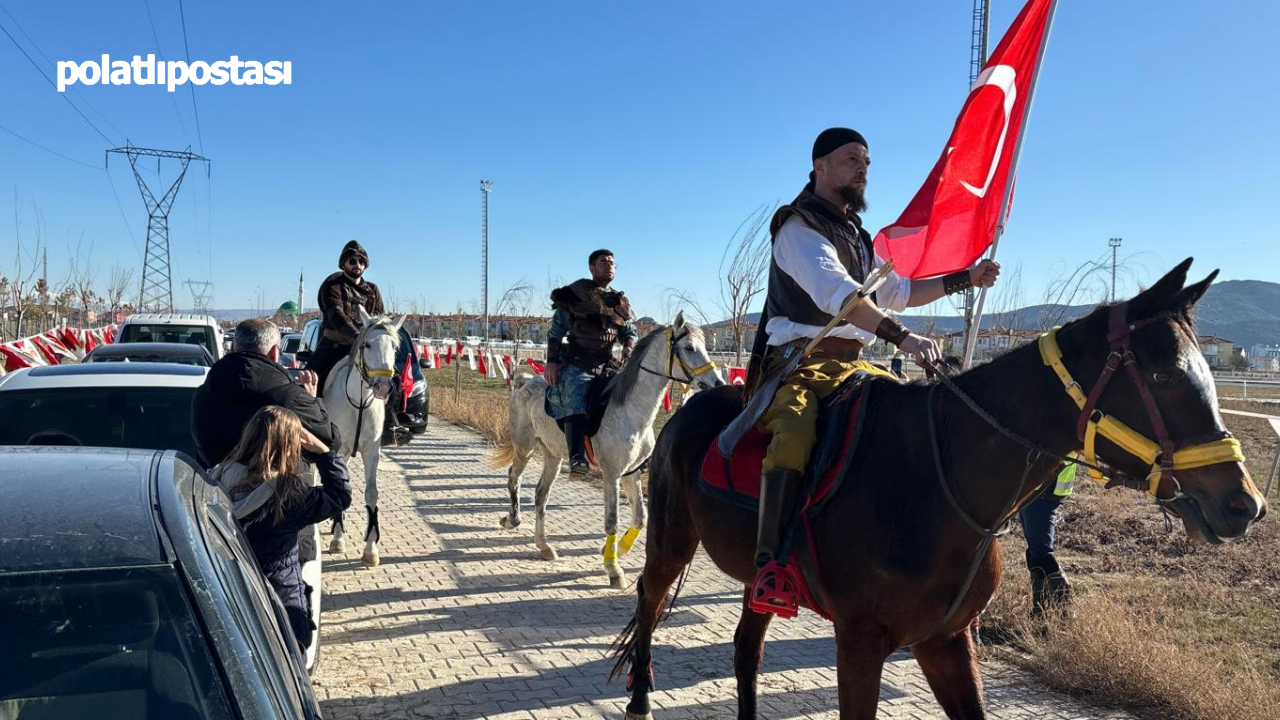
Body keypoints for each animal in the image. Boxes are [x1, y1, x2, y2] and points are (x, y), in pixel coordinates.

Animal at [320, 308, 399, 566]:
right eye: (367, 345)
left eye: (394, 347)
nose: (383, 387)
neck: (360, 402)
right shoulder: (337, 450)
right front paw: (338, 539)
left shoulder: (371, 451)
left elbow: (371, 493)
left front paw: (370, 549)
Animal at [488, 311, 721, 586]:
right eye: (689, 348)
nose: (716, 382)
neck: (630, 411)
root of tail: (523, 383)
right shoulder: (612, 474)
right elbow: (612, 521)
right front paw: (613, 569)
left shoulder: (631, 473)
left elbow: (640, 517)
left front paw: (616, 550)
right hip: (524, 447)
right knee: (514, 478)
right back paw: (512, 520)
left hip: (553, 456)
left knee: (540, 494)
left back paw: (544, 546)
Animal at [614, 258, 1264, 717]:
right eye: (1162, 374)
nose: (1245, 503)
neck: (939, 478)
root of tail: (689, 410)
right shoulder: (860, 642)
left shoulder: (946, 640)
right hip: (671, 539)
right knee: (648, 600)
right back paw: (640, 695)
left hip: (756, 578)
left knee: (746, 647)